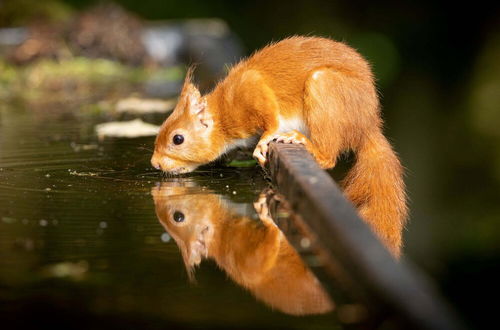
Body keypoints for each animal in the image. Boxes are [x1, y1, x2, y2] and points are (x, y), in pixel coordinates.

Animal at [151, 36, 406, 258]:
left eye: (177, 139)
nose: (155, 163)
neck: (223, 114)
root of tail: (367, 124)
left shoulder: (252, 93)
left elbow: (270, 118)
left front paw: (263, 141)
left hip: (325, 88)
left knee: (328, 156)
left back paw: (304, 143)